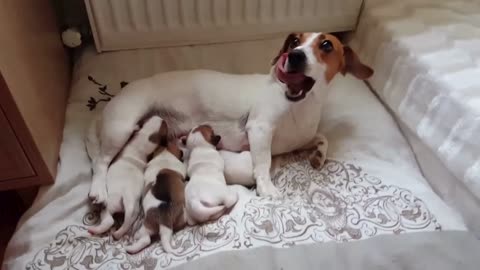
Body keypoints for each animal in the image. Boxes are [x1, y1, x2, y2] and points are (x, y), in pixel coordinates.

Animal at [86, 31, 374, 205]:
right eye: (295, 41)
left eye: (326, 45)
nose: (293, 55)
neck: (301, 105)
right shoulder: (259, 129)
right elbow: (263, 163)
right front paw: (266, 187)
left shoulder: (300, 138)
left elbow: (323, 138)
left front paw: (318, 156)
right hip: (121, 128)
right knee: (101, 162)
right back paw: (98, 190)